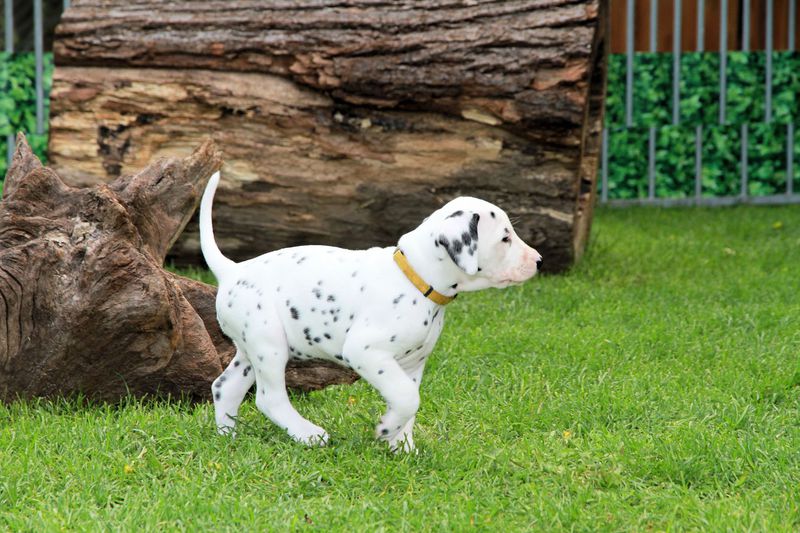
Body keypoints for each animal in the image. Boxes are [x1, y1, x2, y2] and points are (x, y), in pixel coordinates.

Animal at [201, 172, 542, 452]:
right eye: (505, 238)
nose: (539, 260)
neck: (415, 277)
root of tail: (232, 270)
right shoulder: (366, 351)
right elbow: (407, 398)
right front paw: (387, 430)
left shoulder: (412, 365)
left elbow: (408, 401)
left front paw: (401, 444)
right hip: (269, 344)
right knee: (269, 398)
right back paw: (308, 434)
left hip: (250, 351)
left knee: (224, 387)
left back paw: (228, 438)